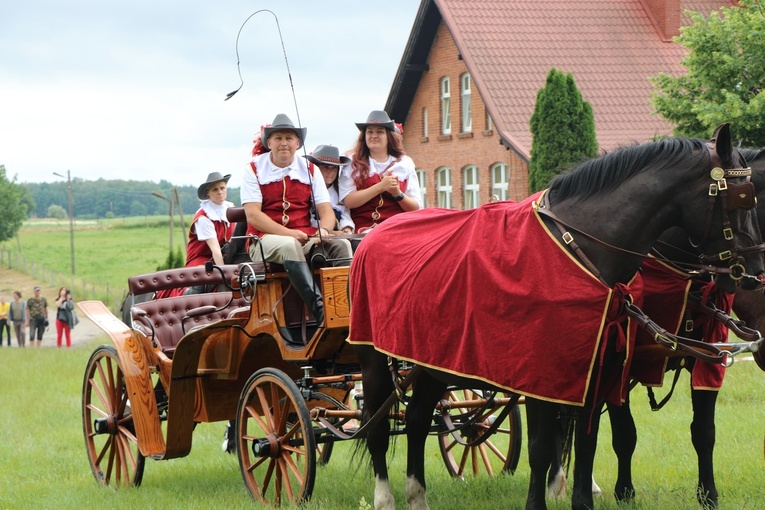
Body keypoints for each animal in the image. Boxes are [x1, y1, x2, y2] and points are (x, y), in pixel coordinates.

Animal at [348, 124, 764, 510]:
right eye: (742, 198)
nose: (755, 272)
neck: (580, 250)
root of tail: (373, 234)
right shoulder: (540, 374)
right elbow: (543, 446)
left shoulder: (599, 369)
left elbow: (589, 441)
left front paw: (583, 498)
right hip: (373, 359)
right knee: (378, 428)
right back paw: (384, 497)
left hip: (432, 362)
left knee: (418, 421)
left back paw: (417, 496)